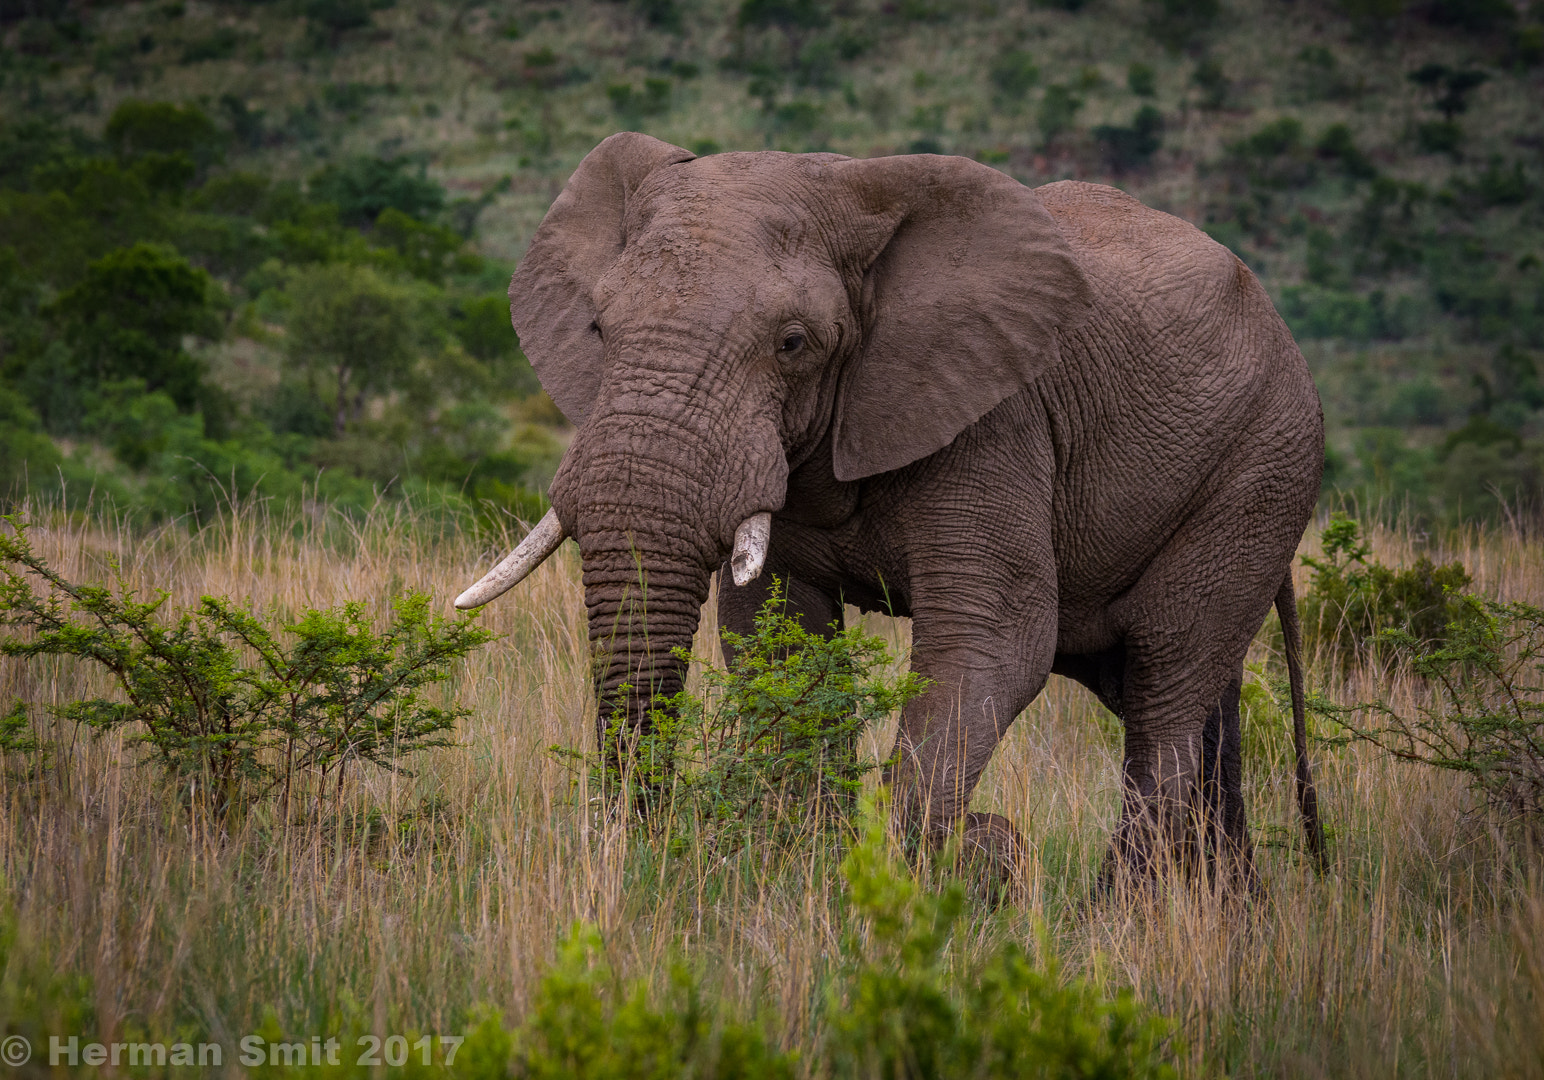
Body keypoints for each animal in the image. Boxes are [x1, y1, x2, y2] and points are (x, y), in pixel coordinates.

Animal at [457, 132, 1327, 896]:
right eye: (599, 327)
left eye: (794, 342)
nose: (647, 849)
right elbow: (776, 637)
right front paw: (804, 873)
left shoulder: (996, 418)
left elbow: (995, 640)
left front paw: (940, 872)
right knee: (1186, 698)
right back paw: (1230, 914)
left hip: (1264, 467)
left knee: (1166, 680)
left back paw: (1118, 920)